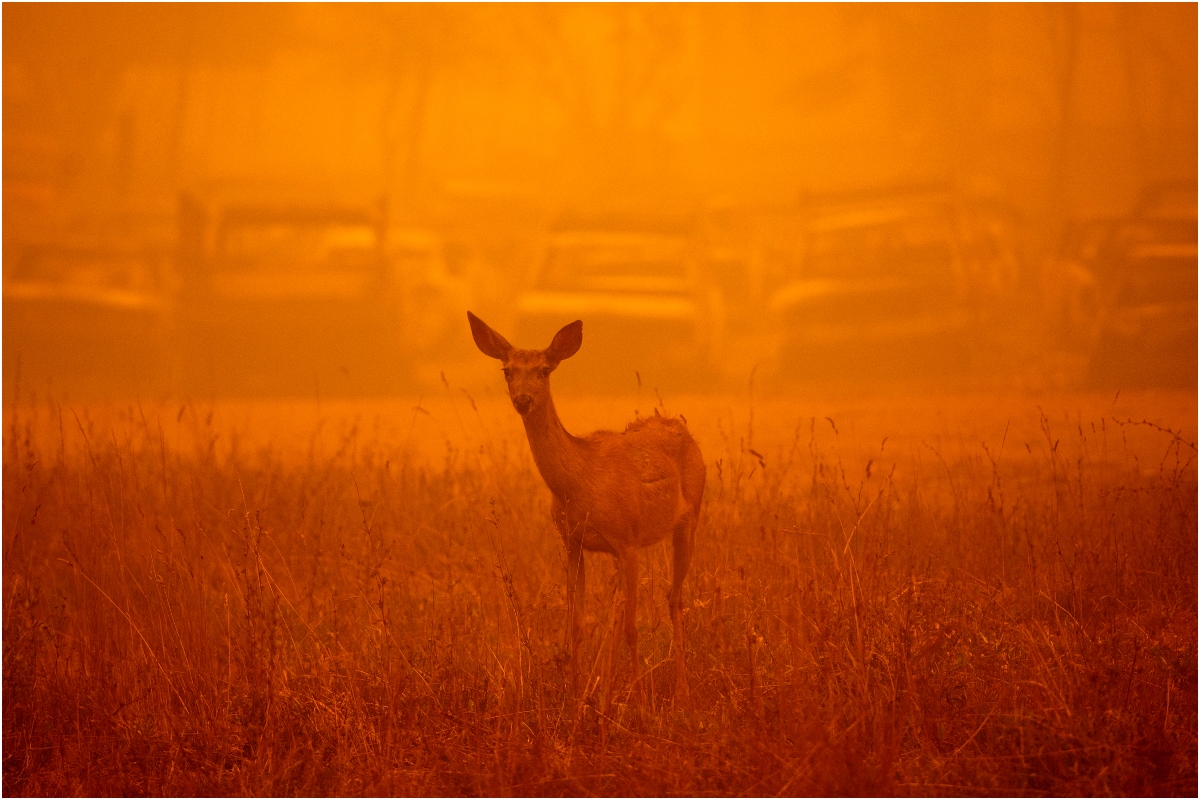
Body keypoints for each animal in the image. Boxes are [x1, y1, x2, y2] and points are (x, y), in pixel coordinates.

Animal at [465, 311, 700, 700]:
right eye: (507, 370)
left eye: (545, 370)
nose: (523, 399)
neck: (580, 484)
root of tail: (681, 427)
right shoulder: (573, 541)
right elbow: (577, 623)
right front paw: (575, 694)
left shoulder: (628, 540)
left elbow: (632, 627)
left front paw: (639, 699)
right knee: (624, 606)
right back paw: (605, 688)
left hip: (690, 517)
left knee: (673, 597)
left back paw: (681, 689)